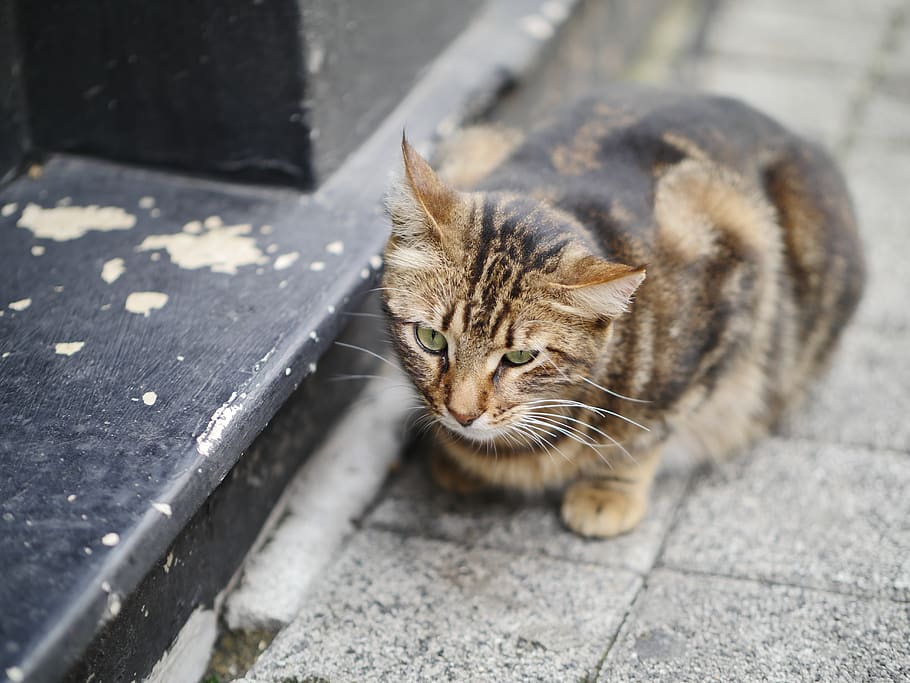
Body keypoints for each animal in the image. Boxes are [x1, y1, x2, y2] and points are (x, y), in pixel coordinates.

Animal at [382, 84, 864, 540]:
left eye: (520, 357)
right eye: (431, 339)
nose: (462, 415)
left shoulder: (733, 260)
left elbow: (646, 433)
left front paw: (609, 489)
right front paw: (456, 461)